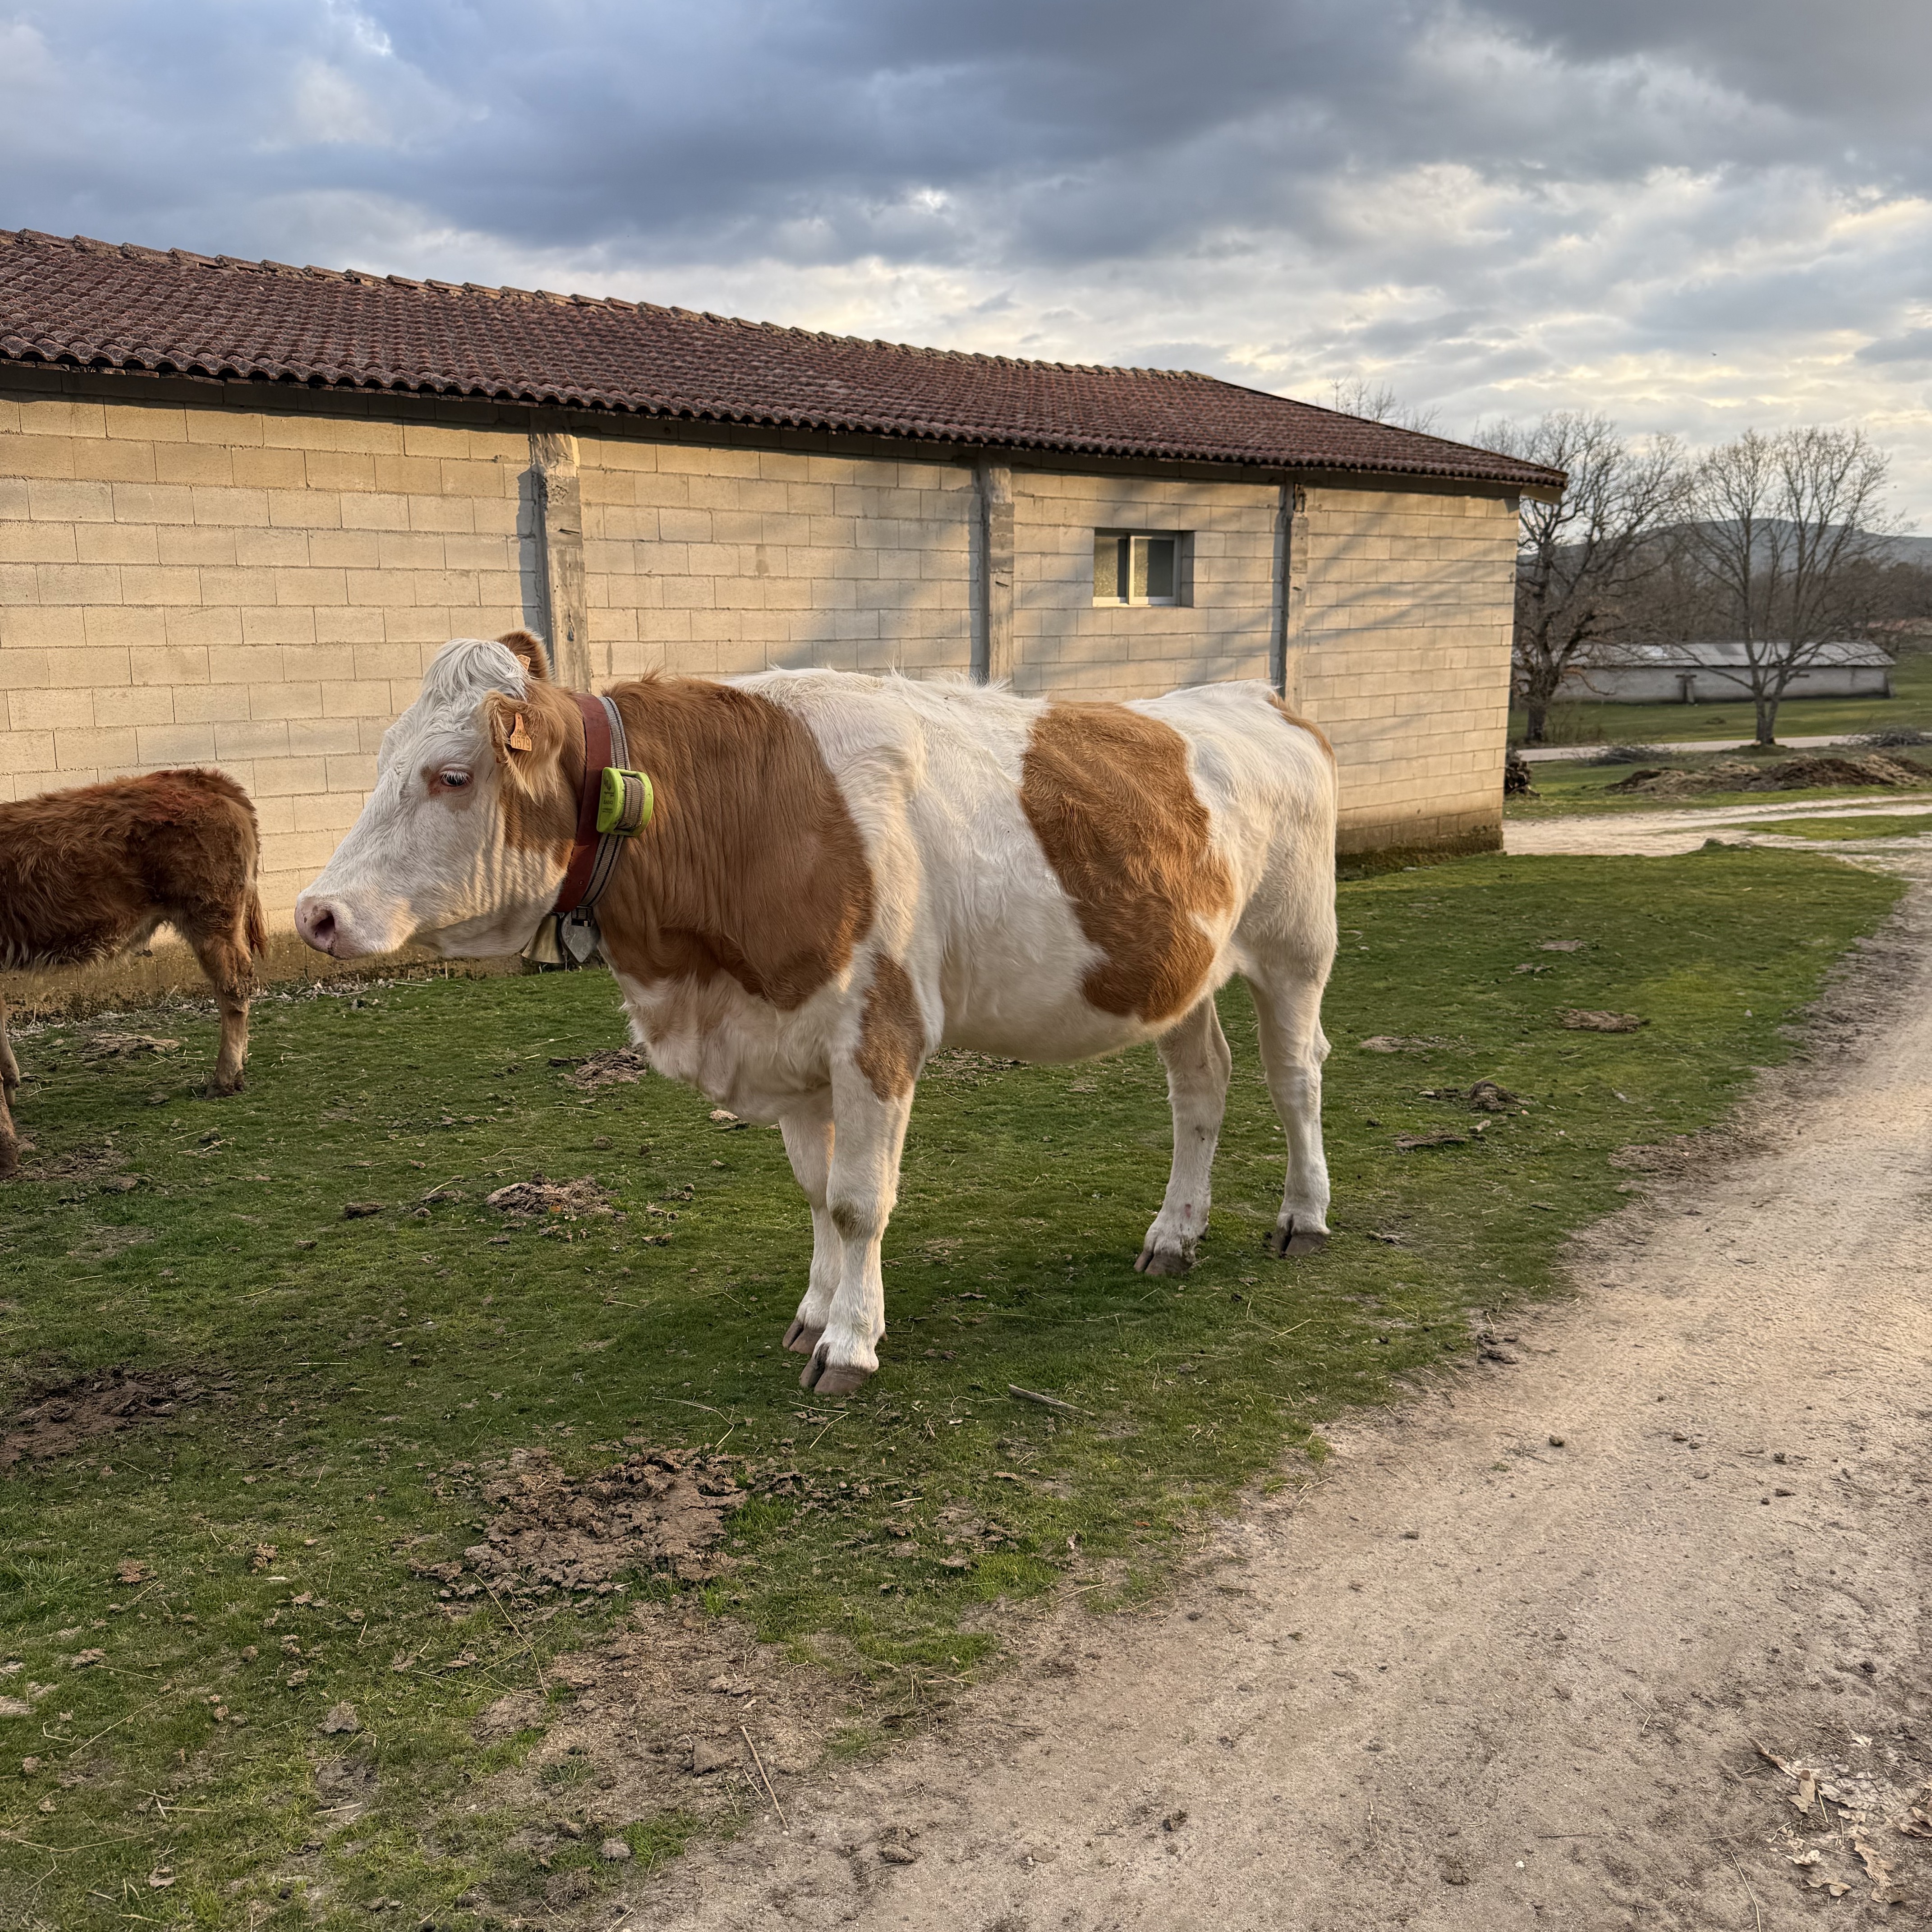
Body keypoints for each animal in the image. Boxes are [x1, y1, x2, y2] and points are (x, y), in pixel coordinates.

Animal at [296, 631, 1337, 1395]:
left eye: (452, 775)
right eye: (384, 757)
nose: (315, 913)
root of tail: (1256, 696)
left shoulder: (877, 1030)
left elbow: (857, 1199)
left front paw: (850, 1343)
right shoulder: (786, 1038)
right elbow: (814, 1192)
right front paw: (812, 1312)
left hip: (1295, 948)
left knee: (1294, 1078)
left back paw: (1303, 1216)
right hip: (1180, 971)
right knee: (1202, 1087)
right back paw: (1174, 1234)